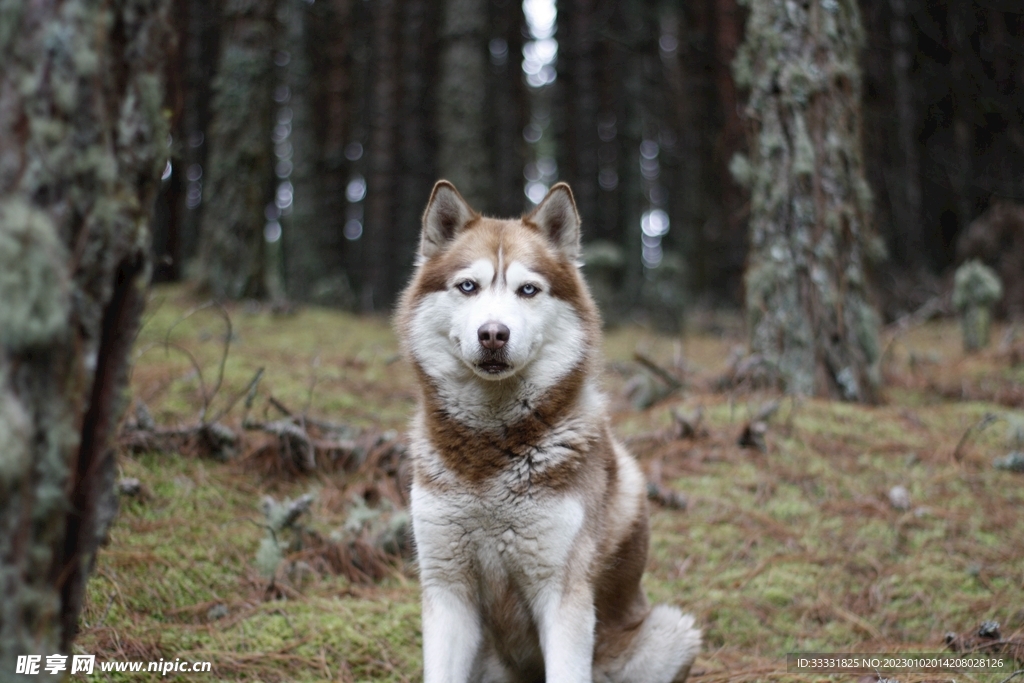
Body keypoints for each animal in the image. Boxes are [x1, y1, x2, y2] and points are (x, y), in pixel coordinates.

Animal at [395, 180, 700, 683]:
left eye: (528, 290)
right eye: (468, 286)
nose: (493, 334)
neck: (490, 450)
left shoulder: (563, 594)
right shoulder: (446, 589)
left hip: (673, 631)